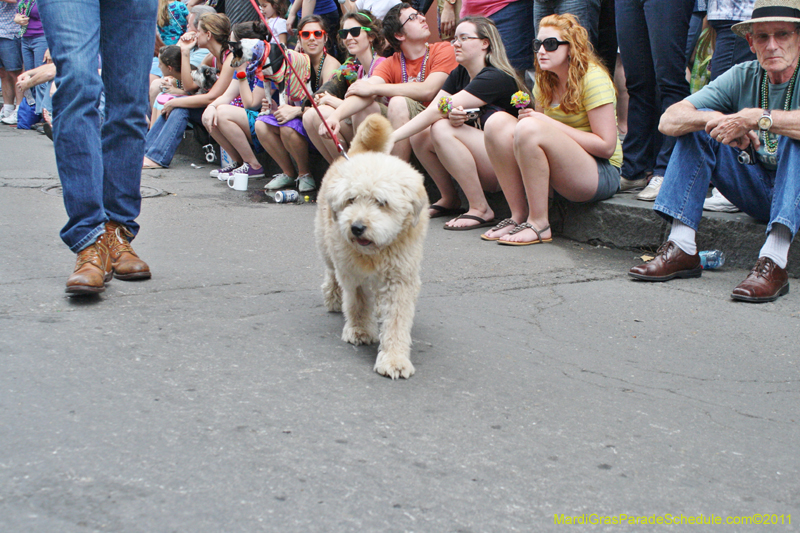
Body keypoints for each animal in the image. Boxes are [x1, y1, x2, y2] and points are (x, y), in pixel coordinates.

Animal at [316, 114, 432, 378]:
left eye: (381, 202)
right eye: (351, 200)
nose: (357, 227)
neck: (377, 252)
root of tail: (356, 154)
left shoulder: (401, 278)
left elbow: (397, 320)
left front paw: (394, 359)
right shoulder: (353, 274)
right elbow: (358, 304)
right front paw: (359, 330)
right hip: (326, 246)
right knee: (331, 273)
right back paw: (333, 297)